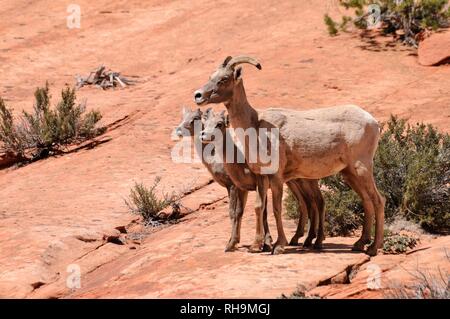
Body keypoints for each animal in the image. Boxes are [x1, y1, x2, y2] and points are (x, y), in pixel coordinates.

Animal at [174, 107, 326, 252]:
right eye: (184, 117)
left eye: (195, 118)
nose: (178, 130)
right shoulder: (247, 188)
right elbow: (254, 212)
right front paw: (262, 243)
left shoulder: (235, 186)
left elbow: (236, 213)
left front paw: (255, 244)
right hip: (294, 182)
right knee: (306, 203)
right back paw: (301, 239)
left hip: (304, 181)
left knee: (316, 201)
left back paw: (314, 241)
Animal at [193, 55, 386, 258]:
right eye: (211, 75)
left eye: (223, 79)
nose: (198, 95)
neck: (255, 126)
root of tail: (373, 122)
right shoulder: (261, 177)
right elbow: (259, 207)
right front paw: (256, 246)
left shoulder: (276, 178)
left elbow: (276, 209)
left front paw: (278, 246)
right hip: (349, 174)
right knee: (366, 201)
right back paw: (359, 244)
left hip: (361, 168)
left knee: (378, 200)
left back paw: (373, 248)